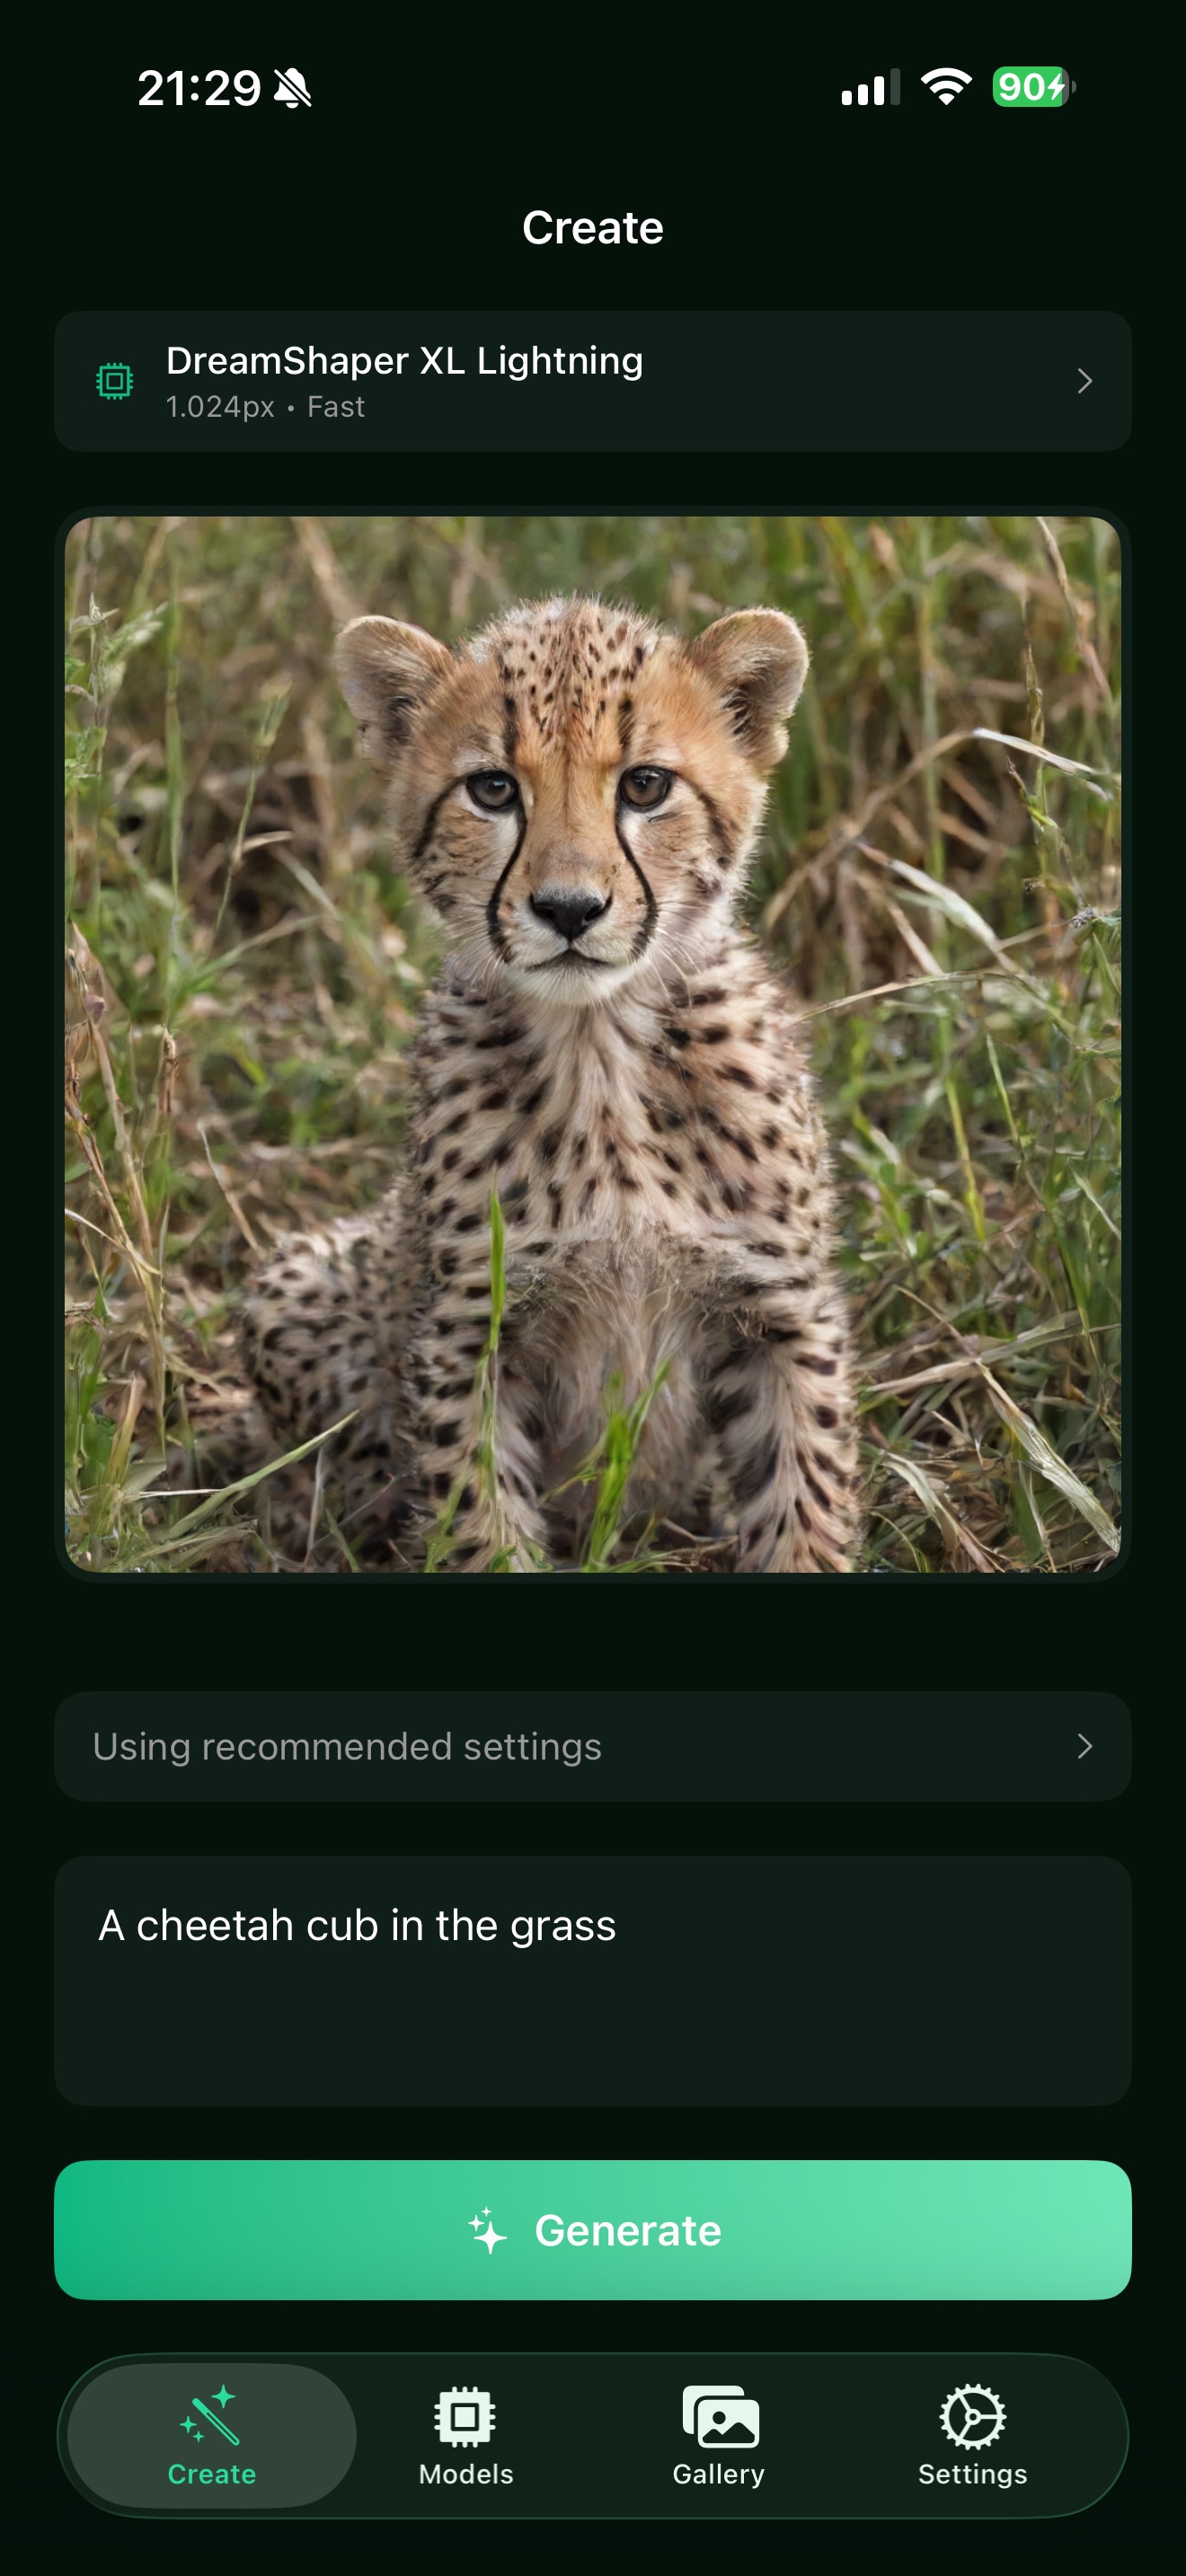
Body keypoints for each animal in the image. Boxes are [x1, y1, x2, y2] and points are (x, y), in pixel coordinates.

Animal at [242, 593, 860, 1571]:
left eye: (645, 786)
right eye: (493, 790)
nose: (569, 909)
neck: (599, 1045)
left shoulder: (782, 1317)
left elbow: (804, 1506)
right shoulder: (468, 1336)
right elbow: (478, 1517)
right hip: (295, 1287)